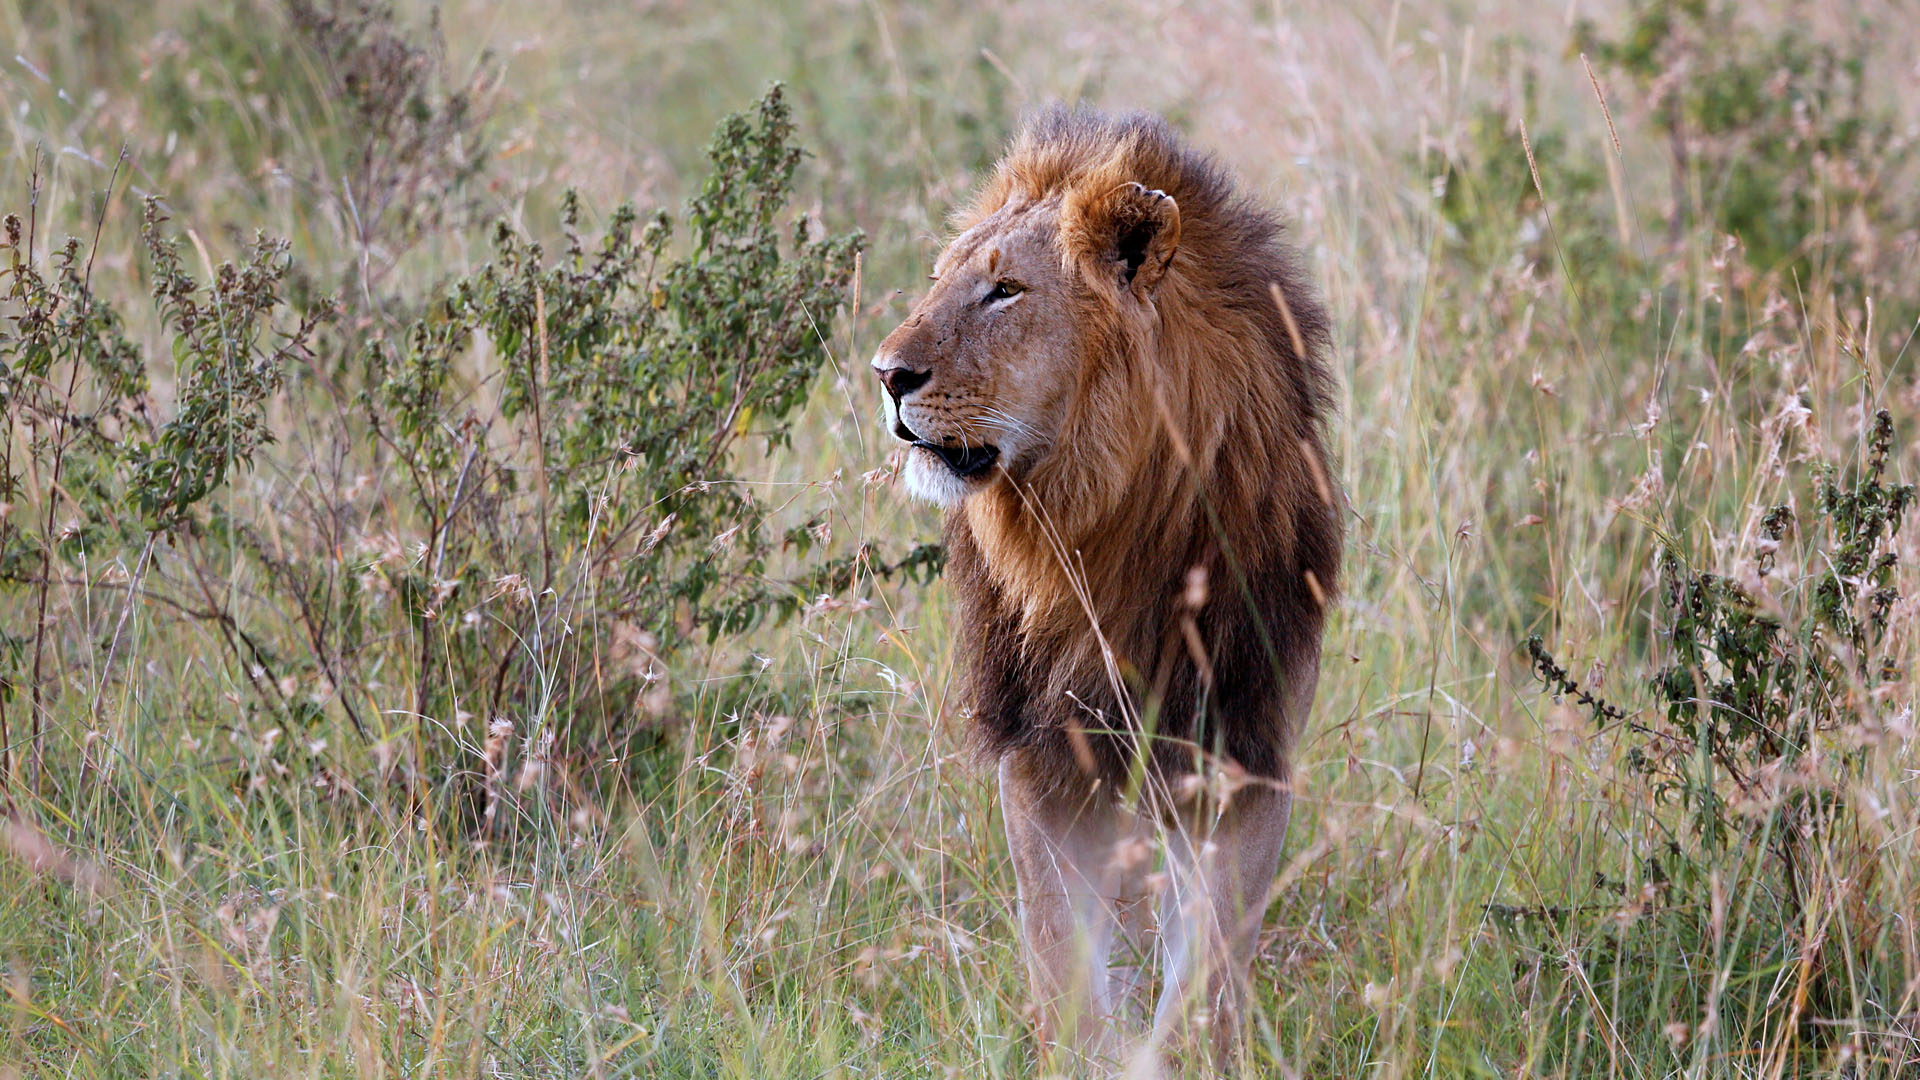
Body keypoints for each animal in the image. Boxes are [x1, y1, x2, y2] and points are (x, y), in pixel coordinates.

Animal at [879, 105, 1344, 1060]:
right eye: (941, 281)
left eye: (1005, 290)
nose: (885, 375)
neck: (1095, 532)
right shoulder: (1047, 760)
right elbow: (1064, 964)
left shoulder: (1245, 756)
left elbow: (1206, 987)